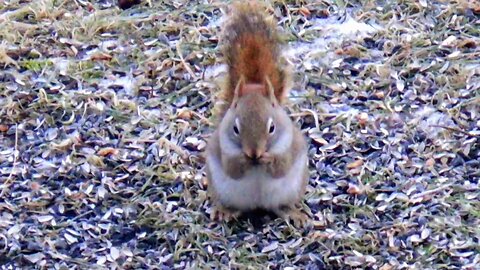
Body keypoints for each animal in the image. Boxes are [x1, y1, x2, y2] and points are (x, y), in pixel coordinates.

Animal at [204, 1, 310, 226]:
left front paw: (268, 158)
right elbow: (232, 168)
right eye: (235, 128)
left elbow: (281, 166)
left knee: (280, 206)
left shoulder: (288, 147)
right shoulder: (224, 149)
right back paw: (225, 211)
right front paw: (243, 160)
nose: (254, 153)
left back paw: (292, 213)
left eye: (272, 128)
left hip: (291, 189)